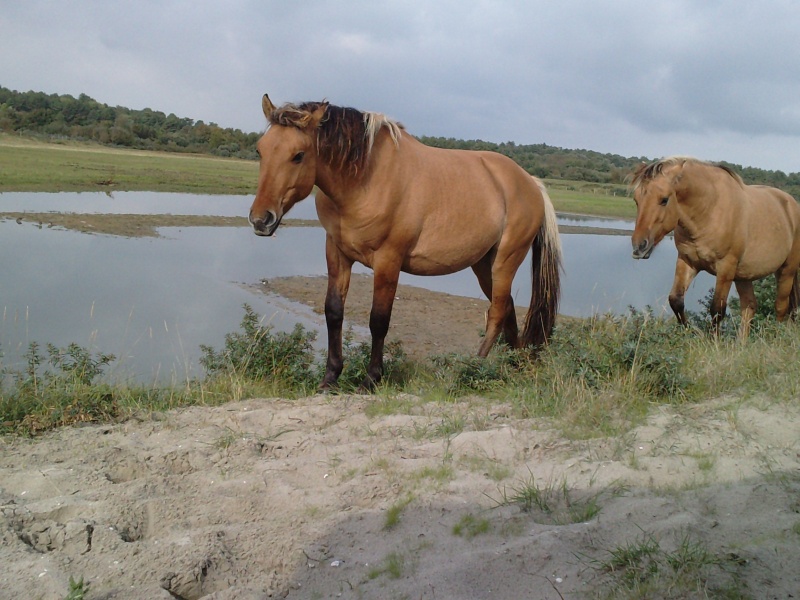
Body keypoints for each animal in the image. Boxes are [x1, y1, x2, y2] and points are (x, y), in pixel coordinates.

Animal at [250, 96, 564, 392]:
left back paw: (472, 369)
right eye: (260, 150)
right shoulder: (336, 253)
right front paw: (330, 379)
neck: (366, 179)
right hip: (483, 265)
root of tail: (530, 182)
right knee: (507, 307)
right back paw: (515, 366)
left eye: (298, 155)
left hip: (505, 261)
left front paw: (371, 380)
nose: (260, 219)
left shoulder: (388, 260)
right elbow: (333, 312)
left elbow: (378, 320)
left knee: (497, 312)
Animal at [632, 156, 800, 338]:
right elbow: (676, 300)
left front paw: (714, 341)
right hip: (744, 276)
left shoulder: (725, 268)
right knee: (749, 306)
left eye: (664, 200)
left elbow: (717, 309)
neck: (710, 210)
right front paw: (691, 332)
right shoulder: (687, 261)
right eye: (636, 200)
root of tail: (791, 204)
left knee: (781, 308)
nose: (639, 246)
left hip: (786, 271)